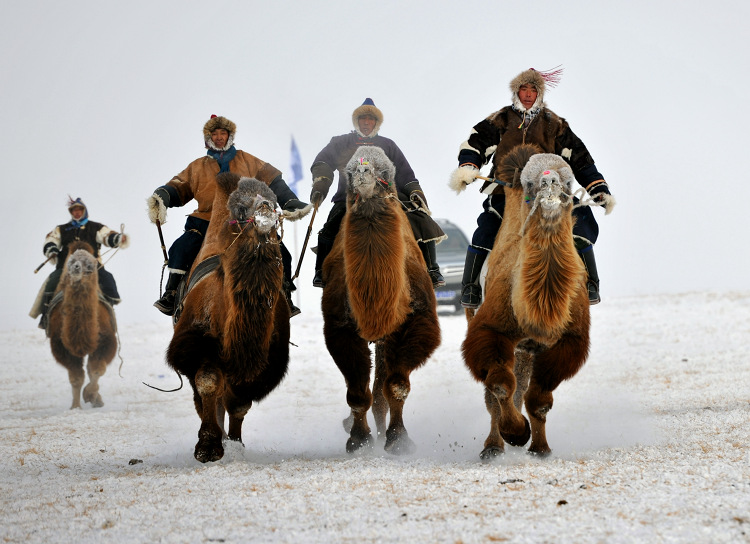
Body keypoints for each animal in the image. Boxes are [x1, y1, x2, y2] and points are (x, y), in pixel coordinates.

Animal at [47, 241, 117, 408]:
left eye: (90, 265)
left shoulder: (106, 340)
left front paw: (91, 396)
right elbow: (76, 378)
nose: (76, 267)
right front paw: (75, 407)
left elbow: (97, 370)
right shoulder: (61, 347)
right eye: (71, 261)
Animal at [166, 174, 292, 464]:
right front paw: (208, 446)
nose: (265, 207)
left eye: (275, 200)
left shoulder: (265, 357)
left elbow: (239, 401)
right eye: (242, 209)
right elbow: (208, 382)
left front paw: (234, 444)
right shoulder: (194, 343)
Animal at [322, 144, 440, 454]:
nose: (363, 171)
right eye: (349, 171)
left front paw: (398, 439)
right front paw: (358, 439)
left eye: (385, 172)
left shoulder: (415, 321)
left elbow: (396, 386)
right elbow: (356, 391)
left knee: (382, 387)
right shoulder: (340, 326)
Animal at [464, 143, 592, 460]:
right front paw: (515, 433)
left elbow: (539, 399)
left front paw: (540, 448)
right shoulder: (489, 330)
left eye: (568, 182)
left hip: (527, 348)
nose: (549, 182)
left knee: (522, 386)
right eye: (529, 184)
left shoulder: (569, 341)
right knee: (503, 390)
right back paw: (493, 446)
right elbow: (500, 386)